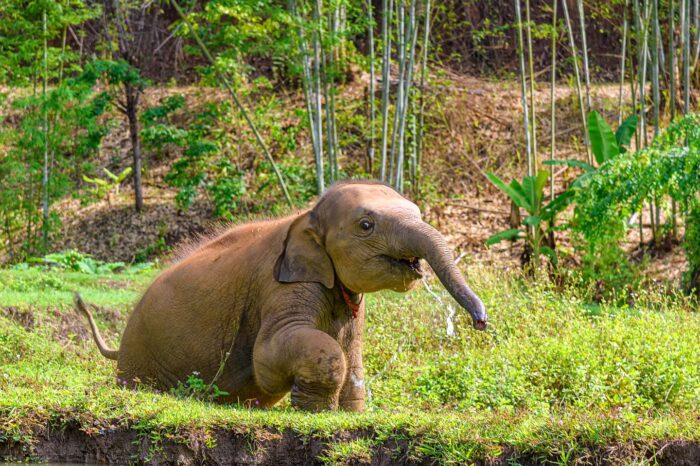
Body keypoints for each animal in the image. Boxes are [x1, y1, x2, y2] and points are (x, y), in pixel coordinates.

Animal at [76, 180, 490, 410]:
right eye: (366, 225)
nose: (481, 322)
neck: (306, 216)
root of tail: (119, 345)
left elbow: (353, 354)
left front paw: (348, 413)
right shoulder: (280, 285)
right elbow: (273, 353)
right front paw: (316, 412)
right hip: (138, 366)